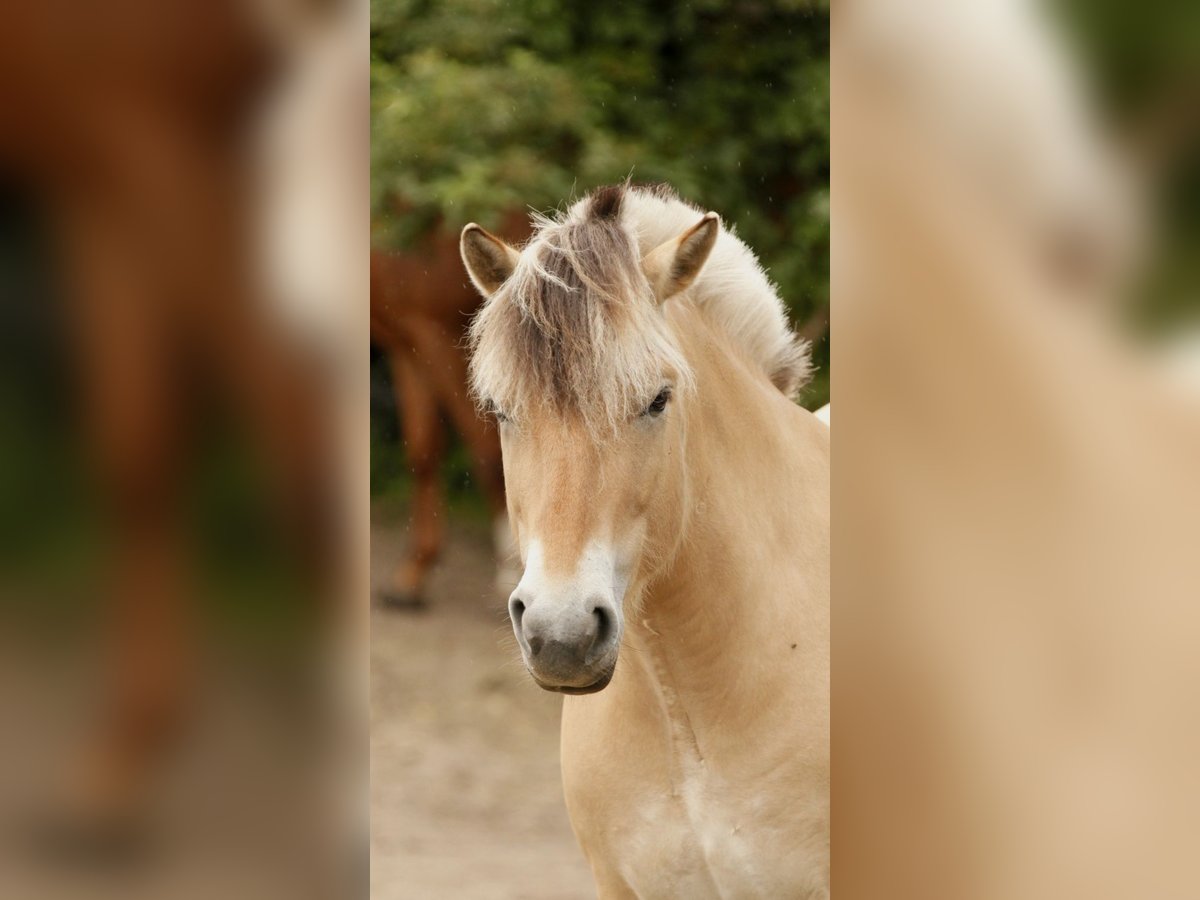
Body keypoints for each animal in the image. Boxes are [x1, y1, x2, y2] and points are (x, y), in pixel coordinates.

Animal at [369, 211, 530, 609]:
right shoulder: (409, 342)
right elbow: (424, 451)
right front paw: (412, 574)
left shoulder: (433, 331)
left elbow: (488, 455)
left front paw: (510, 570)